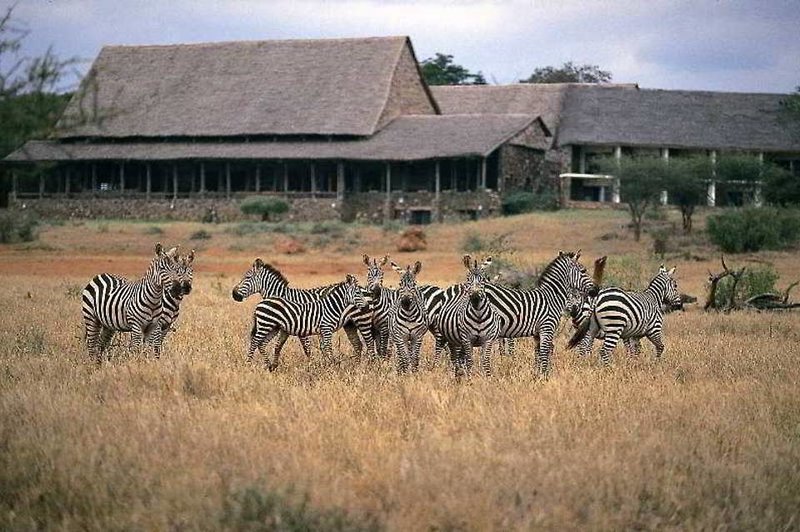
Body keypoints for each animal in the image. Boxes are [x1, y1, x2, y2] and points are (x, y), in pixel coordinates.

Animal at [230, 260, 370, 360]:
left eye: (247, 277)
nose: (234, 294)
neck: (281, 295)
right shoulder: (287, 326)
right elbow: (278, 346)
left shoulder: (301, 326)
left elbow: (306, 348)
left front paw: (313, 363)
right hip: (350, 324)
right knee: (358, 345)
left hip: (362, 321)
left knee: (369, 343)